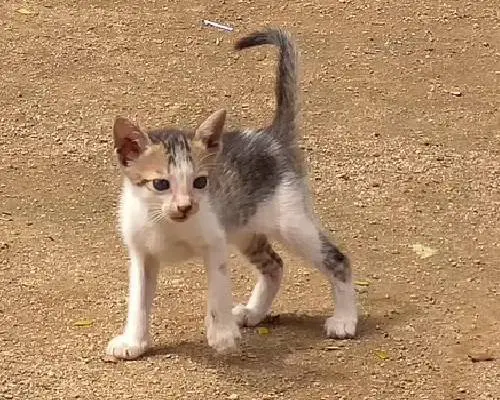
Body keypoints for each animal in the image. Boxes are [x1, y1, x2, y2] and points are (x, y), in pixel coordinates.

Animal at [106, 28, 356, 360]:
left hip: (292, 223)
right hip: (244, 229)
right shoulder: (141, 254)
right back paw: (254, 312)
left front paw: (221, 334)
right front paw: (133, 341)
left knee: (337, 258)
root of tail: (271, 136)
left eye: (200, 182)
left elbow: (218, 290)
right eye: (161, 184)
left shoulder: (214, 243)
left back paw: (345, 319)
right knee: (275, 265)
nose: (185, 207)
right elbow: (138, 301)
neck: (167, 224)